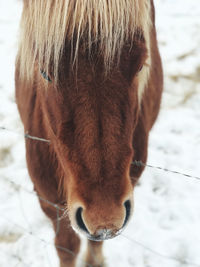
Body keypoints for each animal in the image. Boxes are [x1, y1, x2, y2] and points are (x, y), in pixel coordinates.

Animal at [15, 0, 162, 267]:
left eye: (140, 66)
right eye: (44, 72)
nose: (104, 218)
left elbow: (93, 243)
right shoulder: (49, 202)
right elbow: (67, 246)